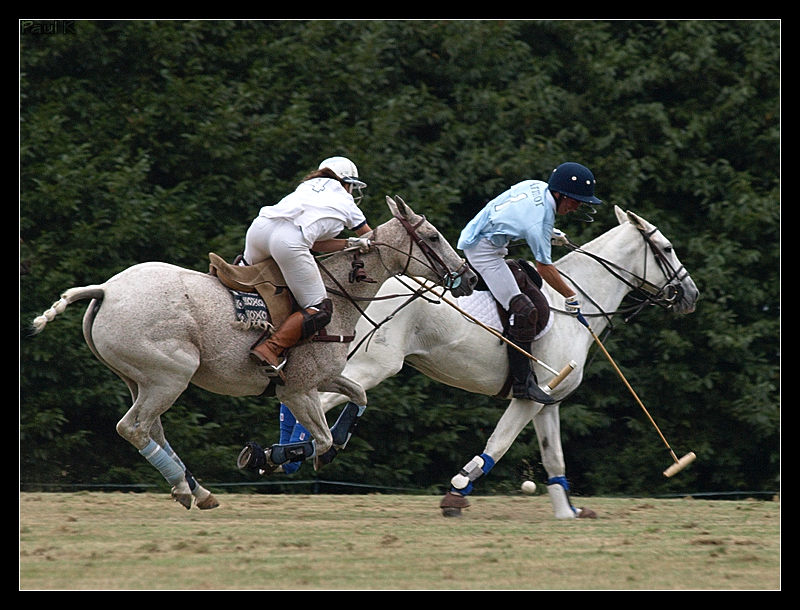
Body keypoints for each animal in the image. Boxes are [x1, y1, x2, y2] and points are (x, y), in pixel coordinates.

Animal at [32, 196, 476, 508]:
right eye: (432, 237)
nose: (469, 278)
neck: (340, 296)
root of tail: (105, 290)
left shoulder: (322, 378)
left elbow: (358, 398)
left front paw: (296, 453)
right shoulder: (296, 390)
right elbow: (321, 440)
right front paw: (265, 456)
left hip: (139, 379)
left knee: (151, 428)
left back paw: (198, 491)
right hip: (170, 374)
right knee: (134, 427)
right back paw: (186, 489)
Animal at [312, 205, 700, 516]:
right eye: (667, 248)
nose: (692, 294)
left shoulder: (549, 402)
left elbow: (553, 456)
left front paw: (568, 512)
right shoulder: (532, 394)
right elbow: (498, 444)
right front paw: (456, 493)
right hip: (370, 366)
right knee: (321, 401)